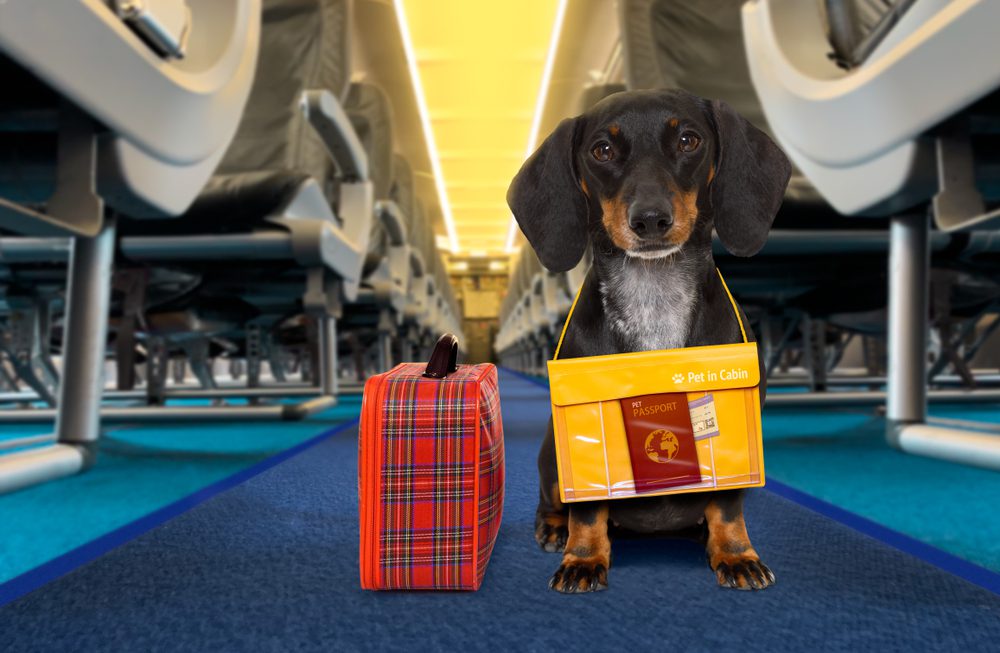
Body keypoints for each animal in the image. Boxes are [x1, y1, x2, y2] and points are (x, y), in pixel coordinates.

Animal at [508, 89, 788, 592]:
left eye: (689, 139)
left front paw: (736, 553)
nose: (652, 219)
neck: (653, 303)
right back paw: (554, 528)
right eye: (601, 150)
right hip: (551, 455)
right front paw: (583, 558)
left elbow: (727, 506)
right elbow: (588, 512)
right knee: (554, 499)